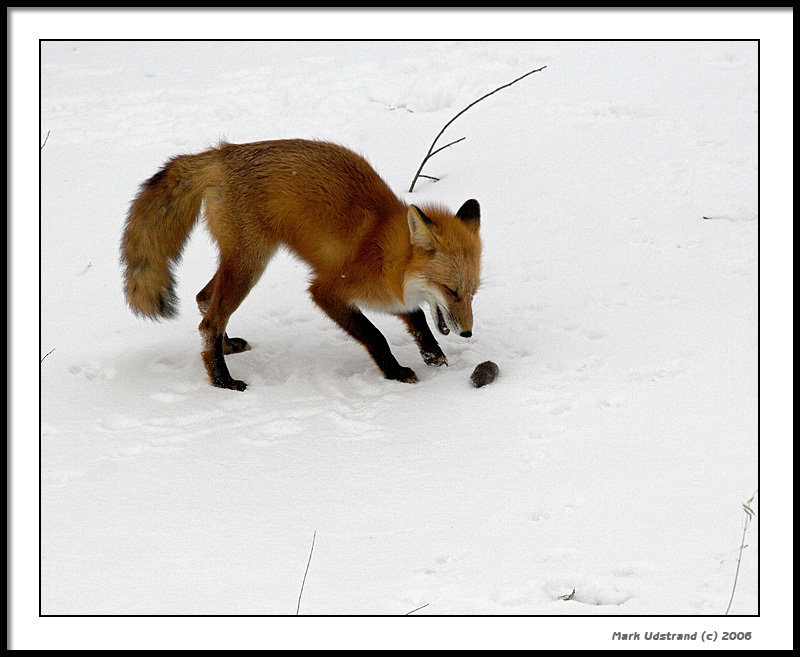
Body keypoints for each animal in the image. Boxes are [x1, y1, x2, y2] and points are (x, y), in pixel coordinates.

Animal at [119, 135, 482, 386]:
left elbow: (417, 318)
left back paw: (227, 346)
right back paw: (224, 382)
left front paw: (433, 355)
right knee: (208, 323)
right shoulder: (327, 291)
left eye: (472, 292)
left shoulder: (392, 294)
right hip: (250, 264)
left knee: (204, 298)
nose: (467, 334)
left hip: (242, 262)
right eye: (451, 290)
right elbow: (375, 335)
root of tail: (223, 152)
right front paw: (395, 372)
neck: (383, 247)